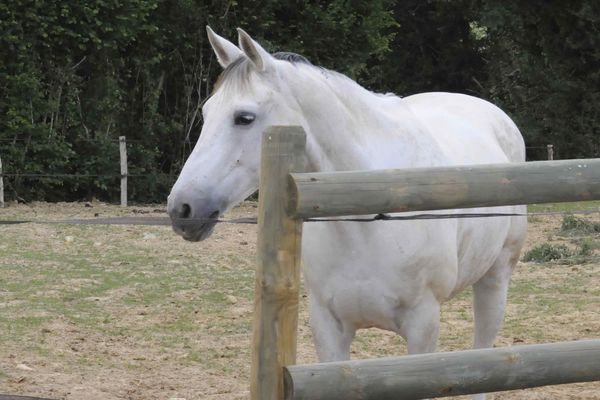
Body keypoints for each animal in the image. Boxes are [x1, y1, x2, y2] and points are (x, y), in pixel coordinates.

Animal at [168, 27, 524, 396]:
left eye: (244, 118)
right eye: (206, 113)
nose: (183, 208)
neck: (367, 217)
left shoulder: (422, 328)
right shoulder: (329, 328)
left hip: (495, 279)